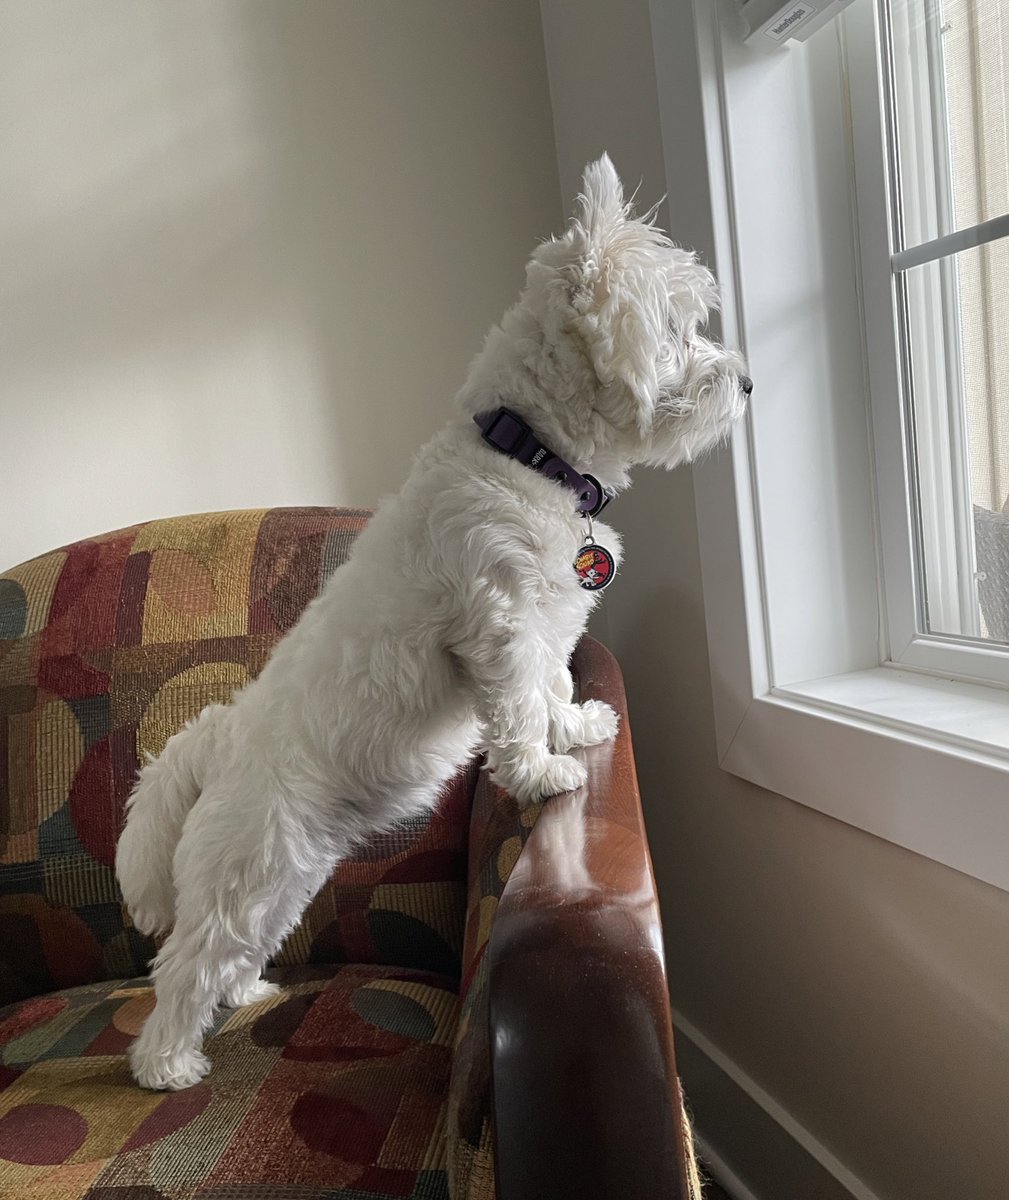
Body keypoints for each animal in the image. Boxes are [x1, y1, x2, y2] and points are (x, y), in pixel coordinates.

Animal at [116, 157, 748, 1089]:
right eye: (676, 327)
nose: (745, 382)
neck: (528, 455)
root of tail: (218, 741)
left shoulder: (548, 623)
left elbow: (551, 687)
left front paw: (579, 726)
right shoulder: (499, 622)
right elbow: (516, 709)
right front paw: (542, 774)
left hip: (286, 879)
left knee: (226, 959)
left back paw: (251, 994)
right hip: (248, 870)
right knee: (182, 968)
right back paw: (167, 1066)